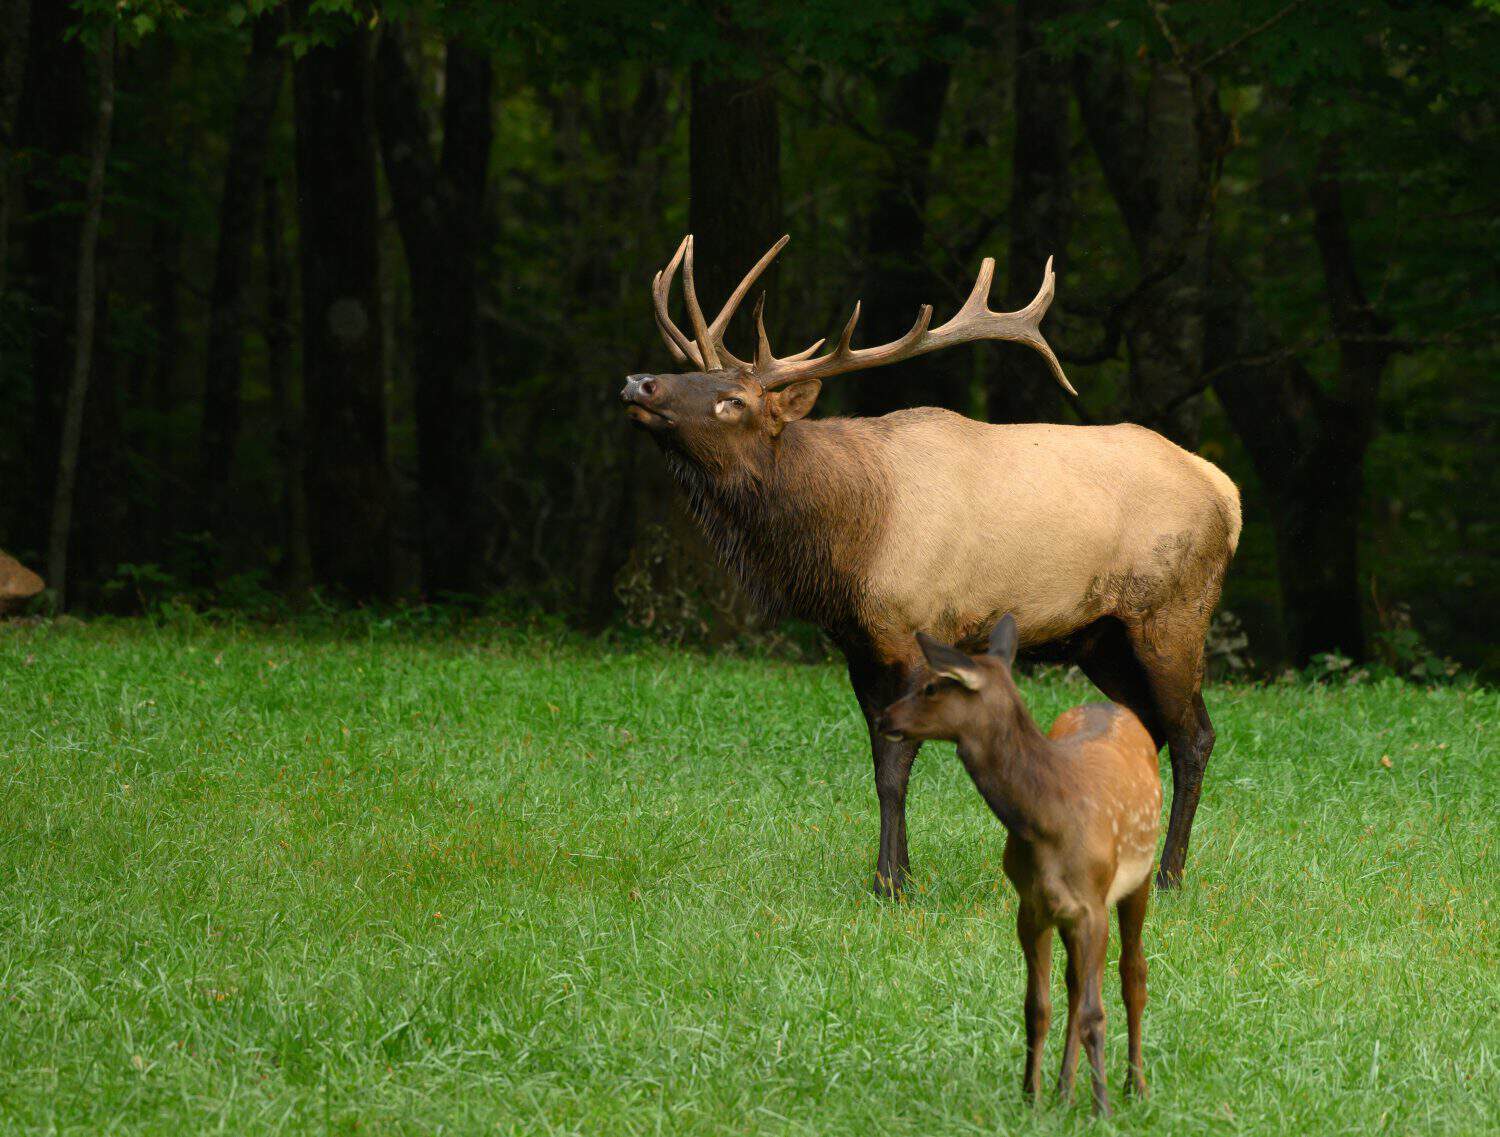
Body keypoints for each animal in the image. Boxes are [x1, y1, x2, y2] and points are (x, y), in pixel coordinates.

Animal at [620, 234, 1239, 894]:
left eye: (732, 401)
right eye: (694, 374)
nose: (639, 382)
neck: (850, 542)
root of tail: (1226, 493)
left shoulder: (915, 627)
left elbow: (896, 761)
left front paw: (890, 883)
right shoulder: (859, 646)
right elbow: (878, 760)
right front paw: (898, 871)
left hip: (1172, 613)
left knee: (1194, 735)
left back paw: (1169, 876)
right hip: (1101, 639)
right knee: (1146, 727)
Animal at [875, 616, 1160, 1117]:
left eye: (931, 687)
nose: (883, 718)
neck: (1047, 820)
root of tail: (1114, 705)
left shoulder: (1092, 905)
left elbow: (1095, 1011)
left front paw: (1101, 1110)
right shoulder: (1031, 907)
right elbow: (1037, 1006)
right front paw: (1031, 1098)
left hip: (1137, 878)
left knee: (1133, 974)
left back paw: (1134, 1087)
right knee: (1073, 984)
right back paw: (1066, 1091)